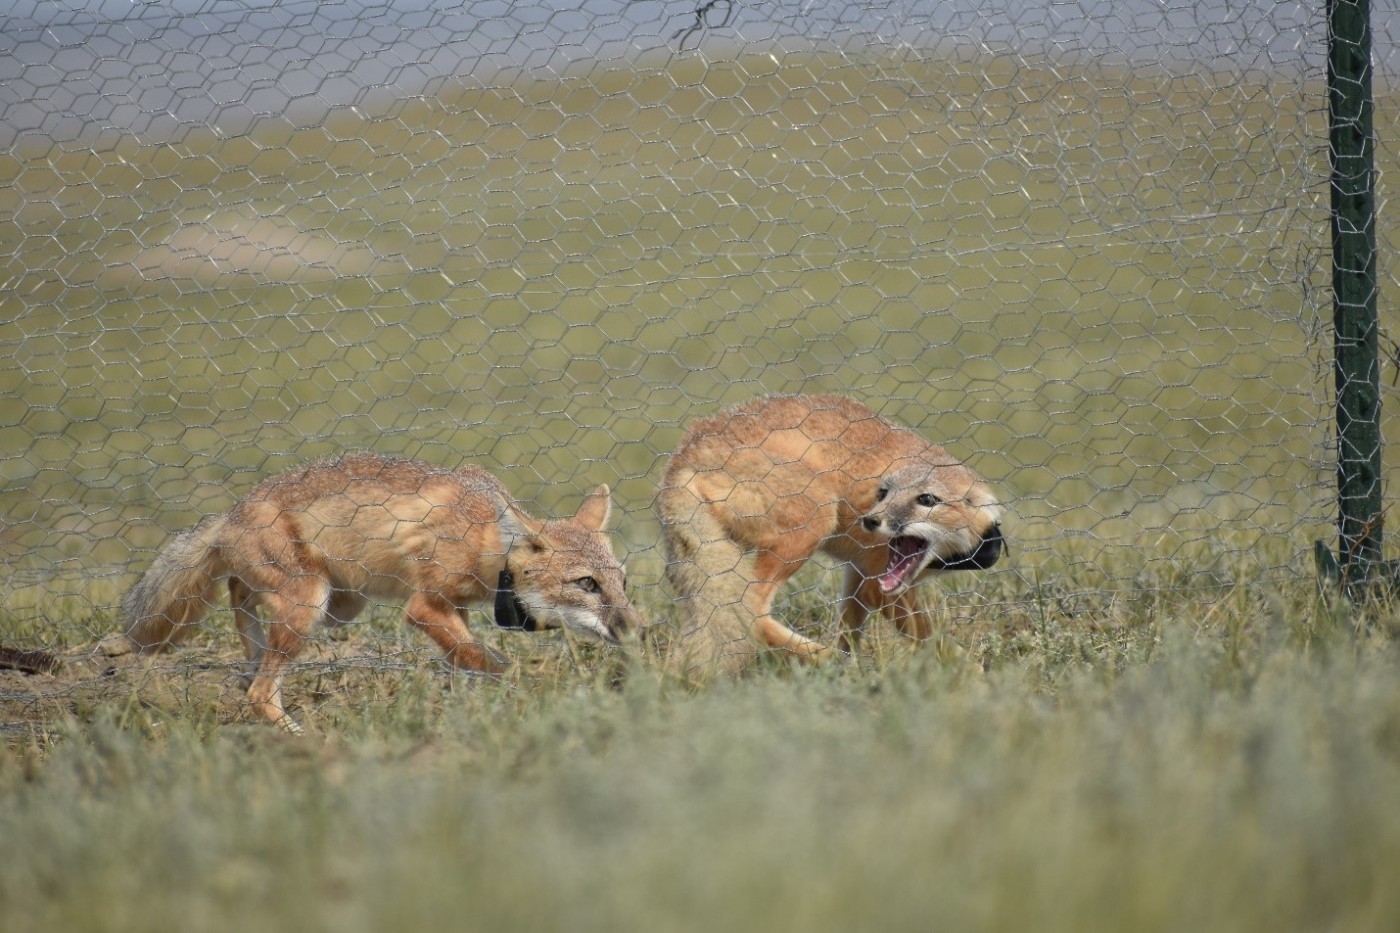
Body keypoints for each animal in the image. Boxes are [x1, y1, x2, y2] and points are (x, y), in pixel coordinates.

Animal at [123, 451, 641, 728]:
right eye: (587, 584)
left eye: (622, 582)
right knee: (259, 693)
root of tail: (231, 512)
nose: (636, 628)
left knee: (239, 599)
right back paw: (305, 740)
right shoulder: (422, 607)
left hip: (339, 606)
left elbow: (465, 659)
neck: (486, 540)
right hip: (311, 605)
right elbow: (493, 662)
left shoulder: (454, 610)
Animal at [658, 392, 1008, 675]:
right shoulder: (880, 585)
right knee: (753, 613)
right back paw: (819, 656)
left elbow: (849, 633)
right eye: (883, 493)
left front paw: (851, 673)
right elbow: (929, 637)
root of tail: (682, 457)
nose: (871, 521)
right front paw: (967, 671)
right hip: (816, 518)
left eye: (927, 500)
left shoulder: (860, 576)